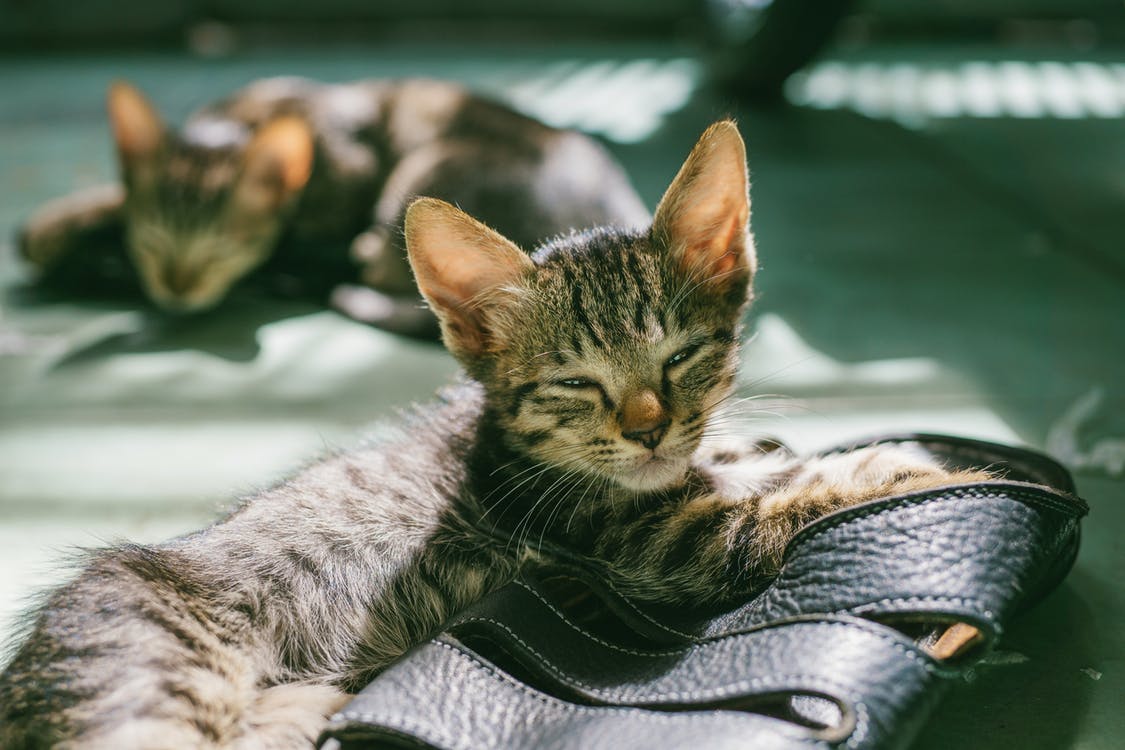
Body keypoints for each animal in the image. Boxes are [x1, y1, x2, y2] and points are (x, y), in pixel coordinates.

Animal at [0, 120, 985, 746]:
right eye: (576, 383)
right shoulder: (658, 541)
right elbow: (793, 493)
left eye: (679, 357)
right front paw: (915, 461)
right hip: (145, 675)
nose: (649, 430)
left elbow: (768, 466)